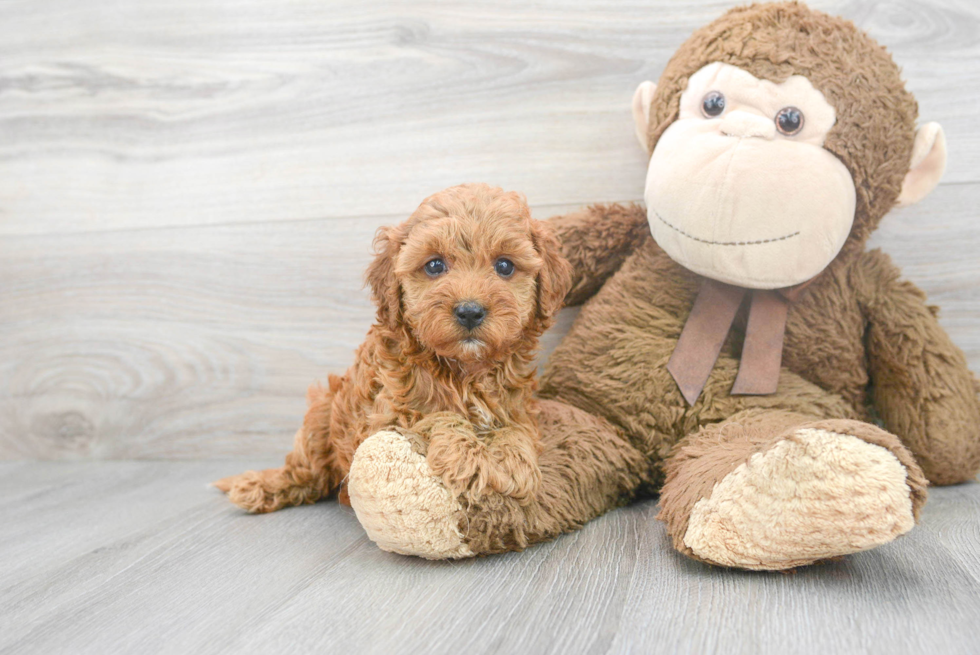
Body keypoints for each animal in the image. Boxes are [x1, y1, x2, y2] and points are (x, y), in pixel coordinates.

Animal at [211, 183, 572, 512]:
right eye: (435, 265)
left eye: (505, 266)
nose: (470, 311)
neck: (465, 371)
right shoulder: (385, 417)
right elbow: (436, 416)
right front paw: (470, 460)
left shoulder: (517, 406)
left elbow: (515, 430)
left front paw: (511, 462)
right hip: (321, 413)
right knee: (304, 474)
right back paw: (259, 487)